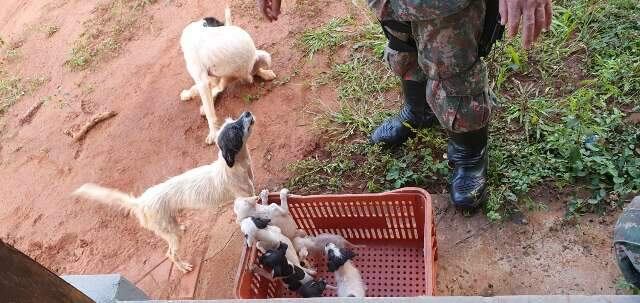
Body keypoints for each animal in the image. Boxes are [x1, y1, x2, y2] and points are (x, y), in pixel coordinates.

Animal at [71, 113, 256, 274]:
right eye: (235, 129)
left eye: (233, 120)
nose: (247, 112)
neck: (232, 166)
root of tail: (141, 202)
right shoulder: (243, 197)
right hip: (171, 234)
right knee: (170, 254)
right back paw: (183, 267)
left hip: (170, 226)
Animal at [178, 6, 276, 145]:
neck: (200, 29)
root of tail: (246, 76)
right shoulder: (208, 77)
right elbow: (202, 90)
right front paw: (188, 94)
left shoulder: (202, 80)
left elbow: (210, 111)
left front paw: (213, 132)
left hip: (259, 60)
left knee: (248, 73)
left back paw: (263, 73)